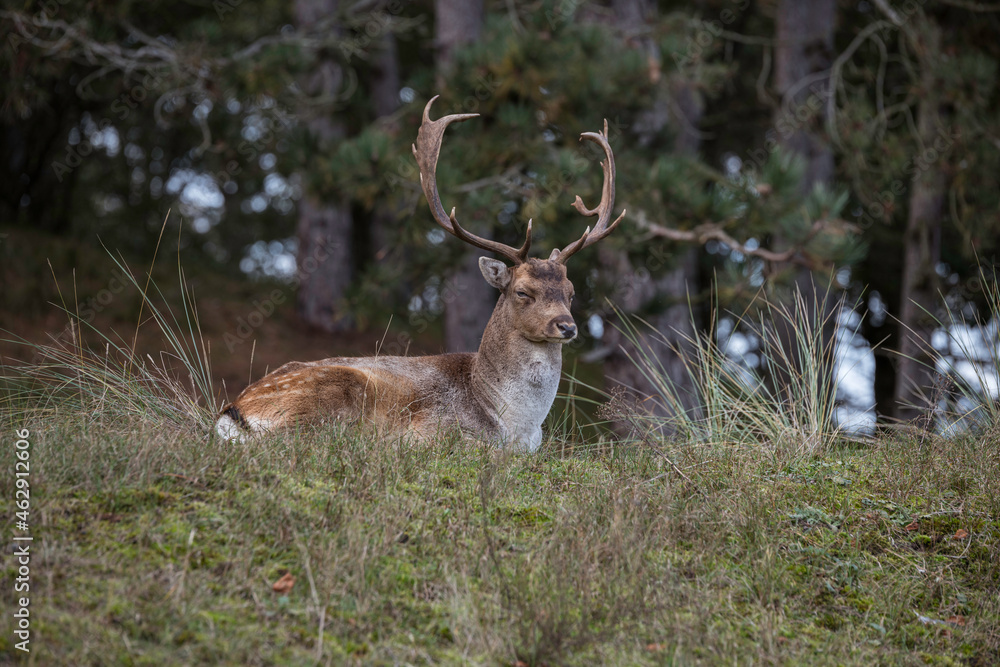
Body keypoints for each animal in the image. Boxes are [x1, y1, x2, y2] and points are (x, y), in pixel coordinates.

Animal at [215, 96, 625, 451]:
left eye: (571, 292)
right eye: (522, 291)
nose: (566, 326)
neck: (514, 424)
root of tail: (234, 410)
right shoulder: (433, 430)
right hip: (329, 398)